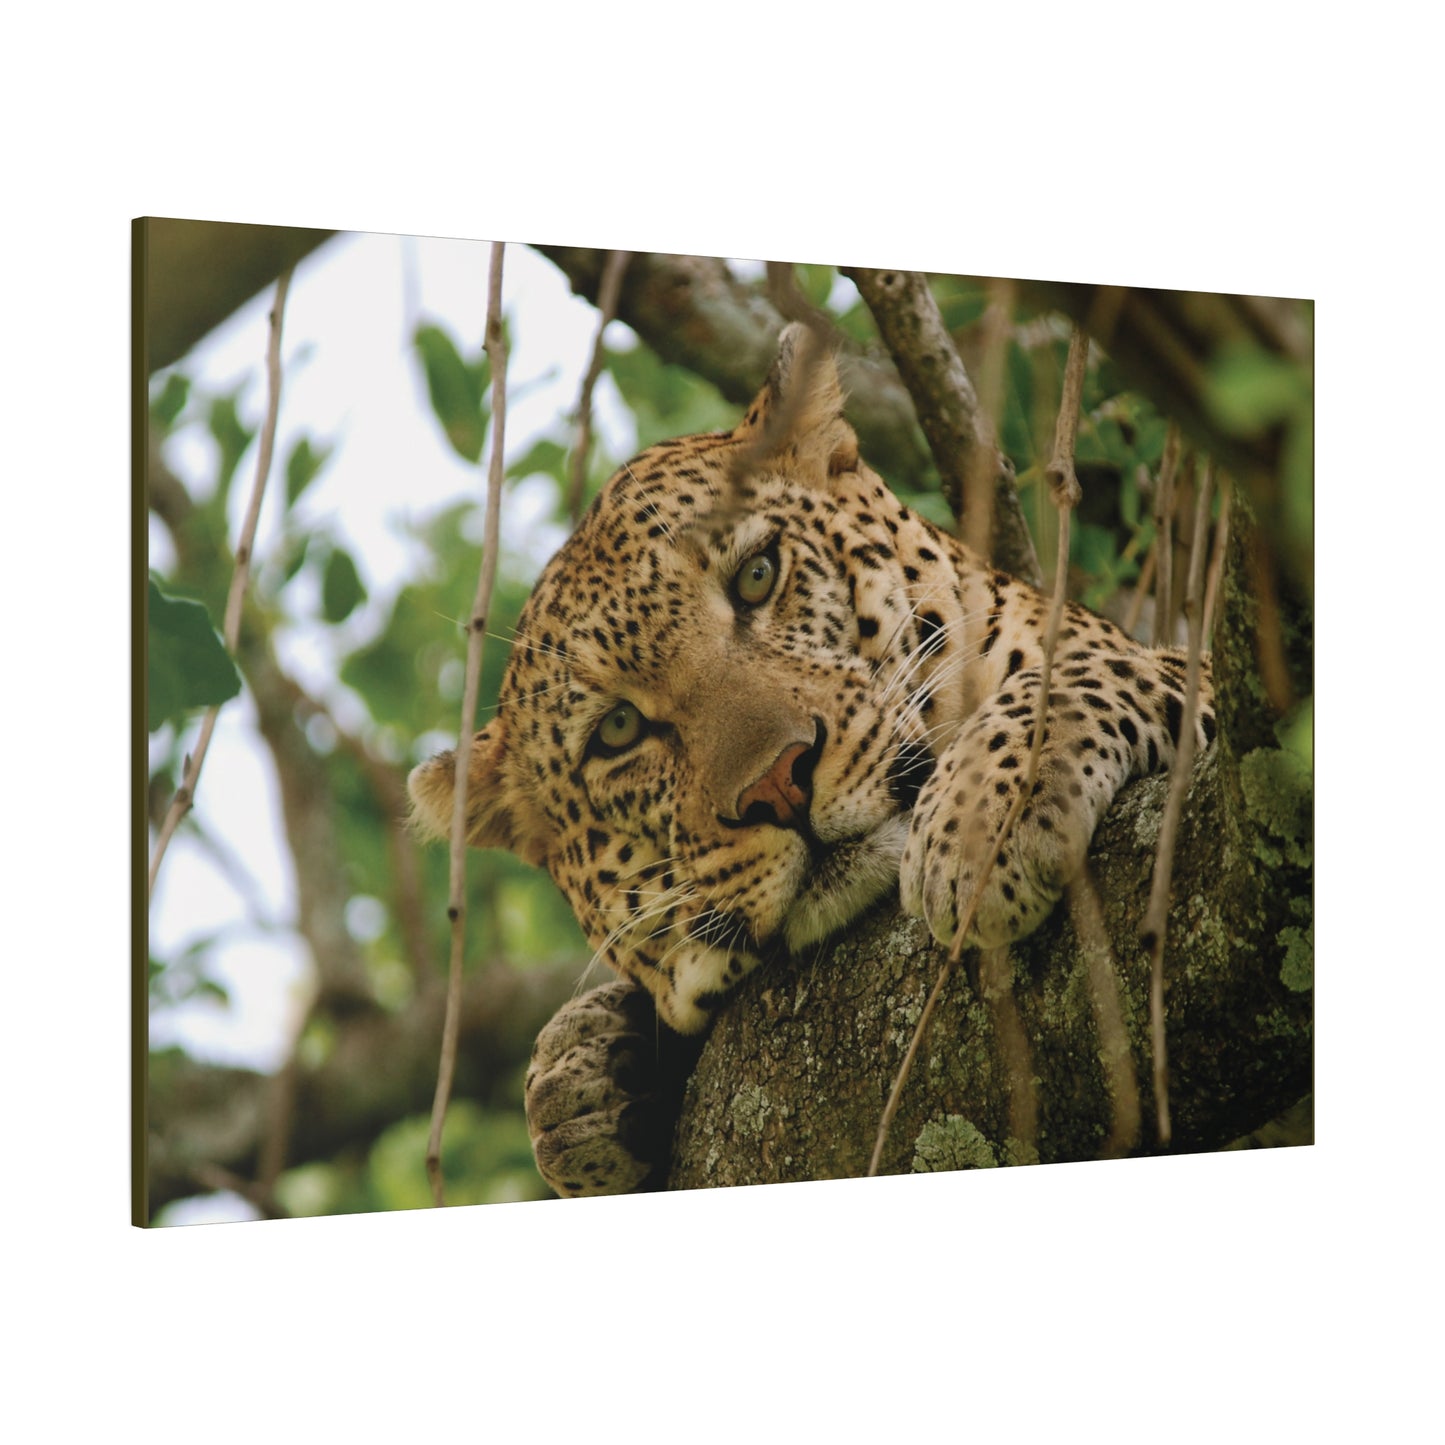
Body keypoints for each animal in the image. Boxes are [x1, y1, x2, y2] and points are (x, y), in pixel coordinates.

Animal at [407, 323, 1216, 1197]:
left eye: (758, 575)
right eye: (617, 729)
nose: (777, 782)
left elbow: (1082, 670)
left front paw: (979, 823)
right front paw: (584, 1079)